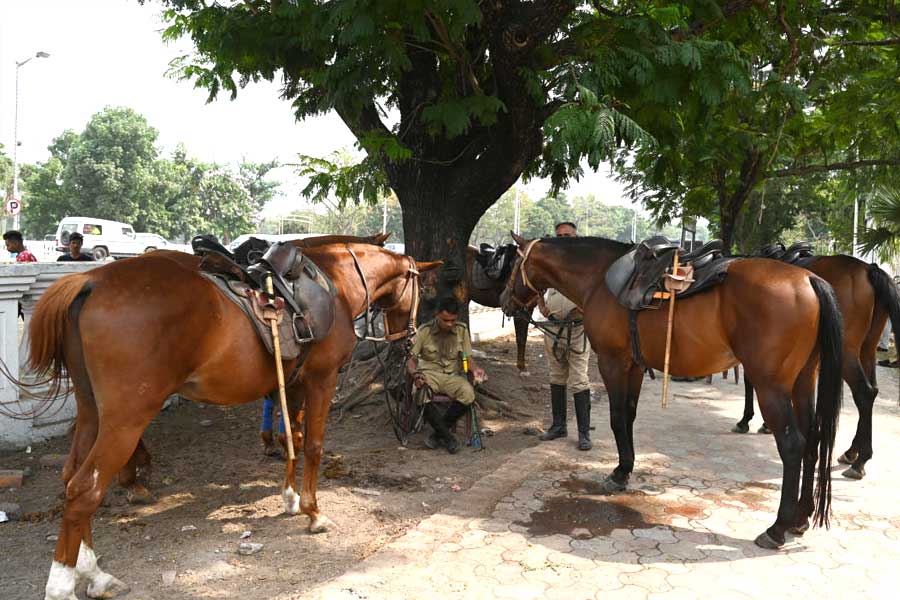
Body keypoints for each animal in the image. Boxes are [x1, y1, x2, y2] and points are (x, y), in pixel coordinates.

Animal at [24, 240, 440, 600]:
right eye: (423, 290)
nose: (407, 337)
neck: (334, 284)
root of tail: (90, 281)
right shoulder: (322, 380)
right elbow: (313, 444)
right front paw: (313, 511)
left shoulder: (294, 382)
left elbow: (293, 436)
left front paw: (290, 499)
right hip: (125, 420)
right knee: (85, 490)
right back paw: (61, 586)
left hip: (91, 412)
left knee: (71, 480)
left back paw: (93, 573)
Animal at [500, 233, 844, 548]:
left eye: (514, 264)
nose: (505, 301)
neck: (598, 279)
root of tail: (809, 279)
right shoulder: (635, 366)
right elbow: (628, 416)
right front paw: (626, 468)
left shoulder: (613, 363)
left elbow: (616, 417)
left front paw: (617, 474)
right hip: (803, 381)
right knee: (812, 440)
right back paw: (800, 518)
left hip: (770, 386)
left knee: (793, 445)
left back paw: (777, 529)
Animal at [732, 255, 900, 480]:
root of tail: (868, 269)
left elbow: (750, 381)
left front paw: (746, 420)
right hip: (868, 349)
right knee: (871, 392)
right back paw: (852, 453)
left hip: (847, 352)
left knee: (864, 393)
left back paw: (859, 461)